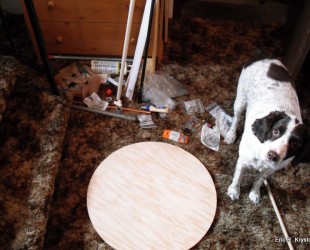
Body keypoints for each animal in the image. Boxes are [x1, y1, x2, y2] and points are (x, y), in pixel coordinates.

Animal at [225, 58, 310, 203]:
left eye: (295, 144)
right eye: (275, 131)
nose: (272, 155)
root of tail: (267, 58)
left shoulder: (270, 170)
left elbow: (259, 180)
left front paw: (255, 193)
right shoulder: (243, 160)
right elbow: (238, 178)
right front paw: (234, 191)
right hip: (241, 98)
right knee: (236, 117)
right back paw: (231, 135)